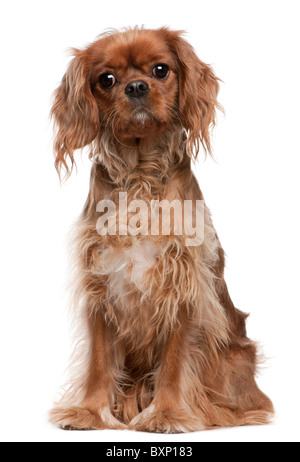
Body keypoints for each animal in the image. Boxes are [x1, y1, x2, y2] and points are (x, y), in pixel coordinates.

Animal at [49, 27, 274, 434]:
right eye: (106, 79)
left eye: (160, 70)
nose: (137, 87)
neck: (141, 174)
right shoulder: (99, 285)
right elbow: (99, 361)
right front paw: (89, 413)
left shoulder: (183, 283)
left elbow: (173, 362)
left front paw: (166, 414)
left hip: (233, 359)